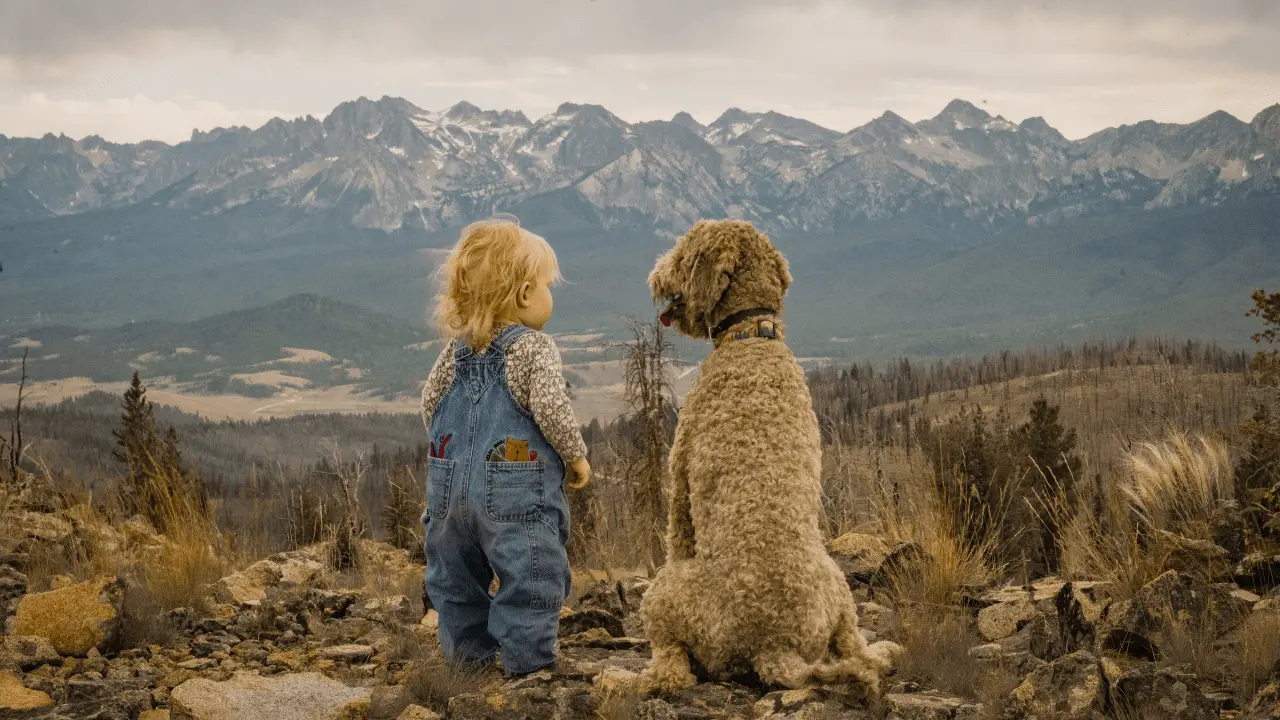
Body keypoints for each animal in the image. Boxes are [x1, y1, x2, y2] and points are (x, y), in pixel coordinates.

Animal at [637, 220, 901, 696]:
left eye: (683, 254)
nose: (655, 274)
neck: (752, 334)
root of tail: (778, 648)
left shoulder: (680, 476)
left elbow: (677, 527)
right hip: (839, 589)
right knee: (854, 648)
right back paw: (882, 651)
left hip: (666, 596)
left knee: (674, 665)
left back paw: (642, 677)